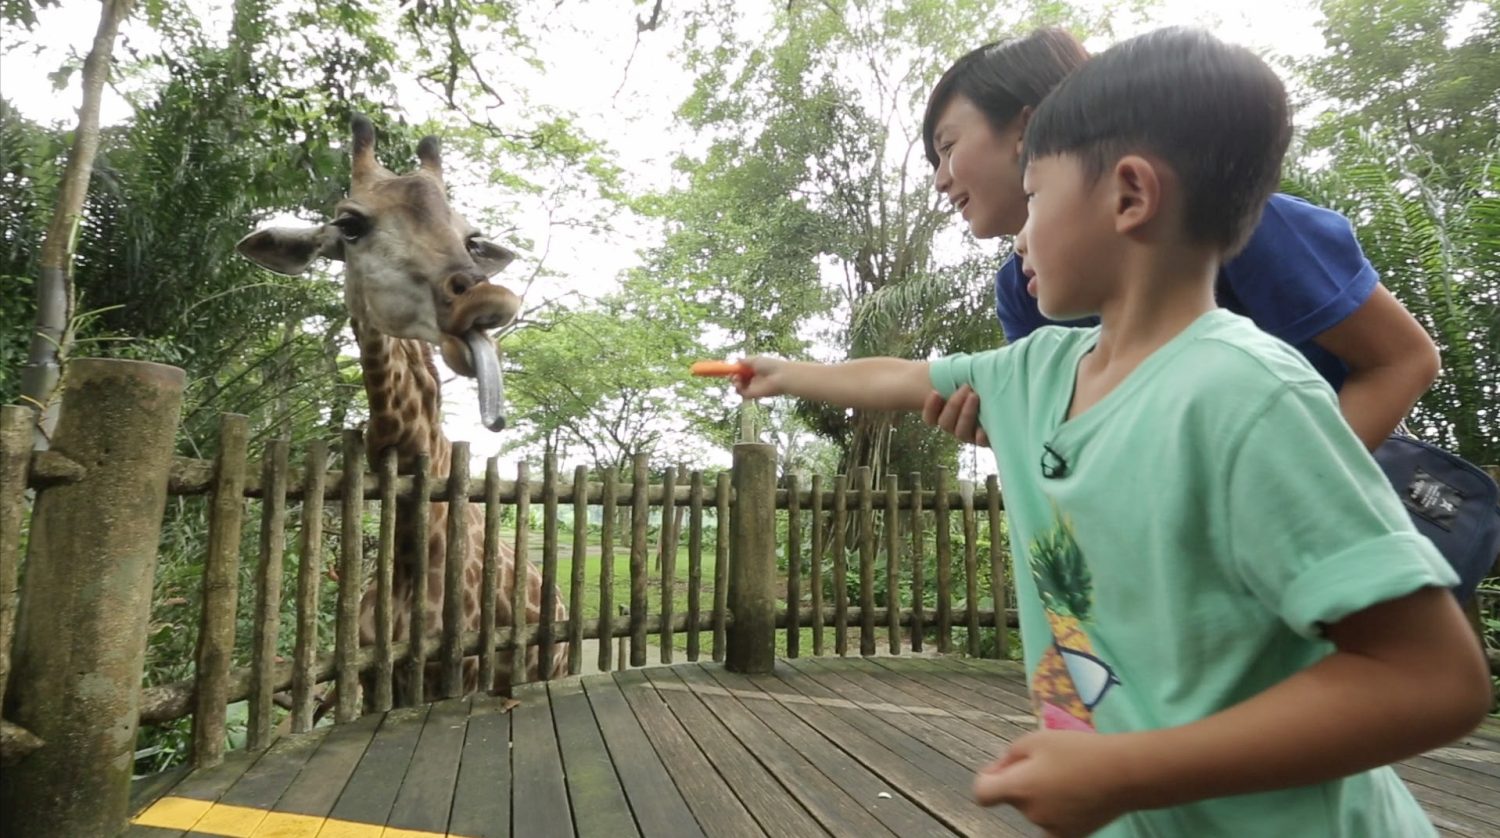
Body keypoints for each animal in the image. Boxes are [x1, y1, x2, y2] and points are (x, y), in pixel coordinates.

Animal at [237, 114, 570, 704]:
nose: (487, 301)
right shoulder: (372, 679)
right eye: (349, 225)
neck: (413, 554)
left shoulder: (458, 675)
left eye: (470, 236)